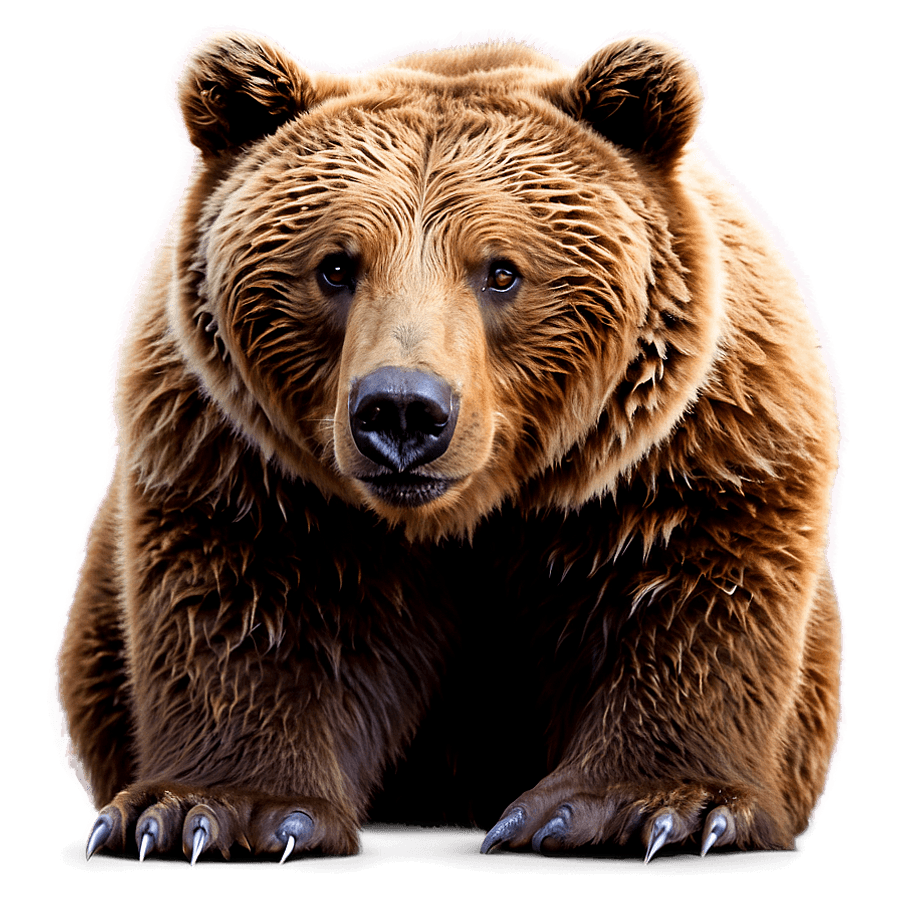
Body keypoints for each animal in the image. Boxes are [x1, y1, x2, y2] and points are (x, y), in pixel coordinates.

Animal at [51, 25, 844, 866]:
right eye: (336, 265)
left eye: (502, 271)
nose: (402, 412)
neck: (465, 513)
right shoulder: (248, 464)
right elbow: (247, 605)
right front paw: (208, 811)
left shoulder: (683, 454)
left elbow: (687, 594)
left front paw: (645, 808)